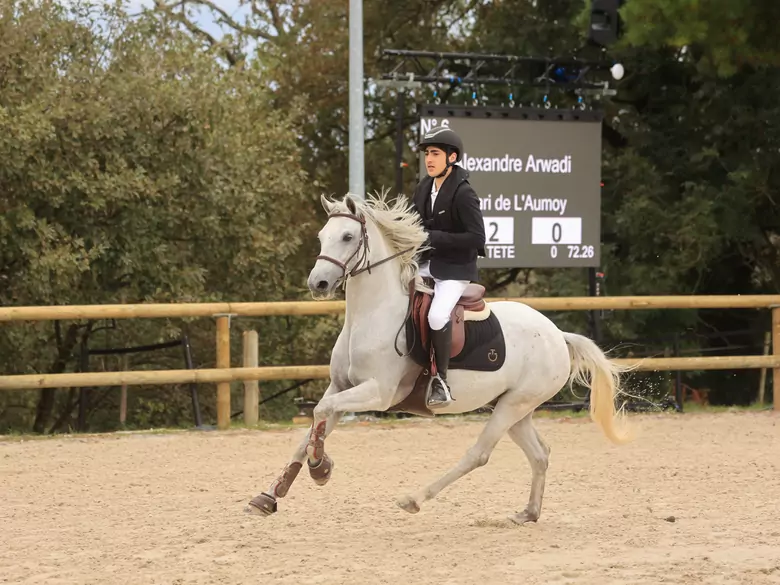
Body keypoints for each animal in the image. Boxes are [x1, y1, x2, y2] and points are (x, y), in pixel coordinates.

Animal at [246, 191, 634, 524]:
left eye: (347, 236)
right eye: (321, 236)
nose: (319, 284)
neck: (370, 315)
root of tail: (557, 335)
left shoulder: (377, 392)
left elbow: (319, 413)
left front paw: (321, 468)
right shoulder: (340, 387)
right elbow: (313, 424)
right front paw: (270, 496)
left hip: (513, 405)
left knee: (479, 453)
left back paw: (414, 499)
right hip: (515, 407)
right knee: (540, 453)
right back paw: (528, 513)